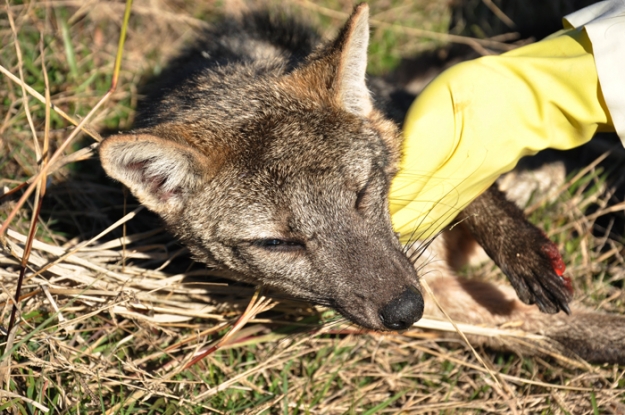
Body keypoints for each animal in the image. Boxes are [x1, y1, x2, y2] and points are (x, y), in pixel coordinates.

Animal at [98, 4, 624, 366]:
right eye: (278, 243)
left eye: (362, 193)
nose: (406, 310)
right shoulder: (442, 294)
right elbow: (561, 333)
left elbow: (477, 193)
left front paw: (521, 248)